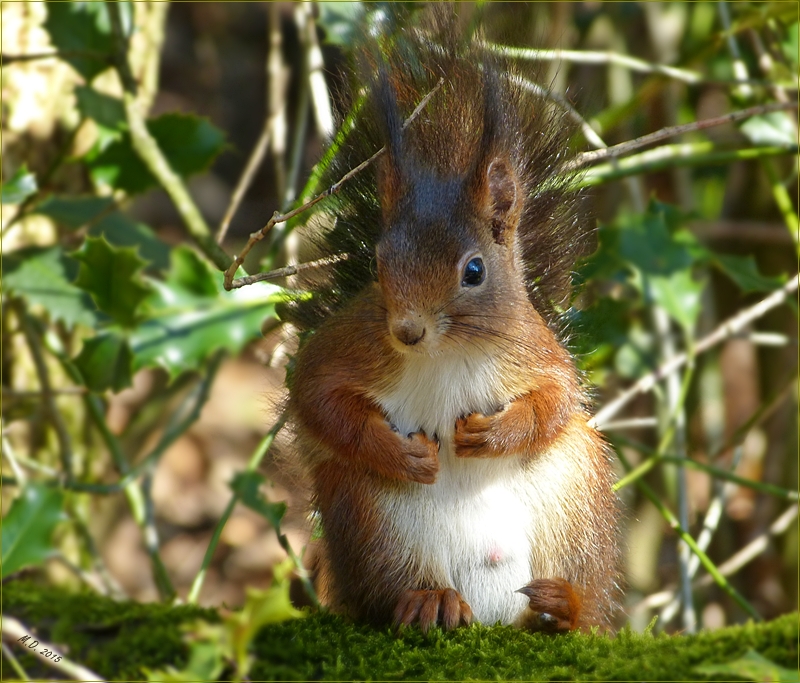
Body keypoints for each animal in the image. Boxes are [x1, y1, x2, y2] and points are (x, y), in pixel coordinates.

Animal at [284, 12, 620, 636]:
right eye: (378, 261)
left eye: (474, 270)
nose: (407, 331)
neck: (445, 354)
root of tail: (491, 608)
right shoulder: (350, 344)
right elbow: (315, 394)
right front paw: (398, 453)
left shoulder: (535, 350)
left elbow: (558, 396)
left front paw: (495, 433)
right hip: (368, 512)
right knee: (389, 585)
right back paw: (428, 600)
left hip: (576, 486)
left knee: (585, 603)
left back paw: (564, 606)